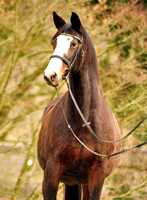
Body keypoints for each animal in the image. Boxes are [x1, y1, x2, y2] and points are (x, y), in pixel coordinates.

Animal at [37, 11, 121, 199]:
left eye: (73, 43)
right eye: (54, 42)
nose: (50, 75)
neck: (85, 120)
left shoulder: (97, 175)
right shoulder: (52, 172)